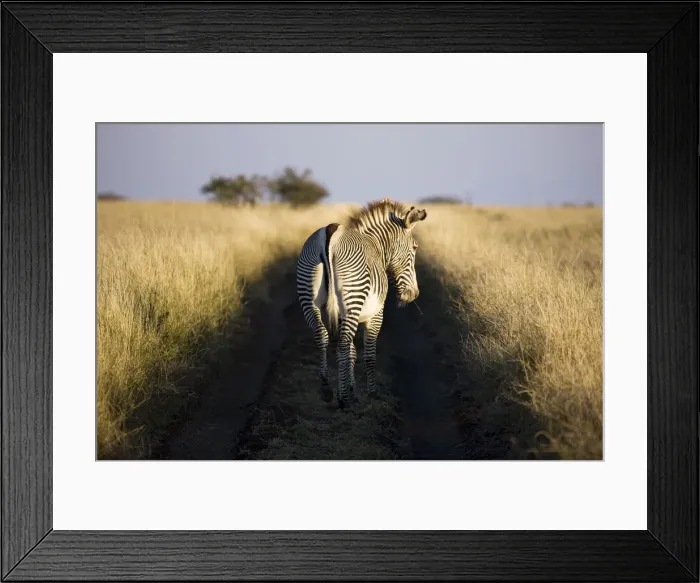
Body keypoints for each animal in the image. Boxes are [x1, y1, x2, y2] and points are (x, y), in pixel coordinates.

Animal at [296, 198, 428, 409]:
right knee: (341, 345)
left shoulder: (343, 316)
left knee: (322, 336)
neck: (376, 246)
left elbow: (351, 353)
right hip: (353, 297)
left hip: (308, 295)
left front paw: (353, 391)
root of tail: (330, 233)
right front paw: (369, 392)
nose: (413, 294)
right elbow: (368, 354)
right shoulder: (376, 315)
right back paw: (342, 400)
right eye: (415, 248)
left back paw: (326, 389)